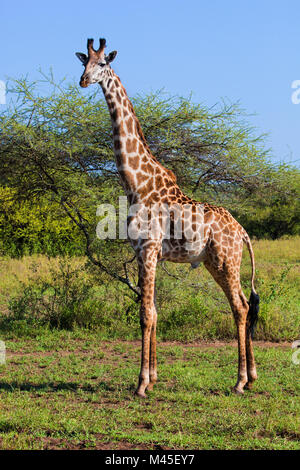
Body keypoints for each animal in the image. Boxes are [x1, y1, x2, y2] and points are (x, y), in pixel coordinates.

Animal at [75, 37, 260, 396]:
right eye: (81, 62)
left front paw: (141, 384)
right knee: (246, 303)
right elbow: (156, 312)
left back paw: (240, 381)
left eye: (103, 63)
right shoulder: (148, 254)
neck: (137, 183)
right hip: (215, 262)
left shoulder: (147, 249)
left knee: (241, 306)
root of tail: (243, 232)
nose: (84, 80)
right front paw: (154, 376)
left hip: (226, 261)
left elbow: (145, 314)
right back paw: (253, 375)